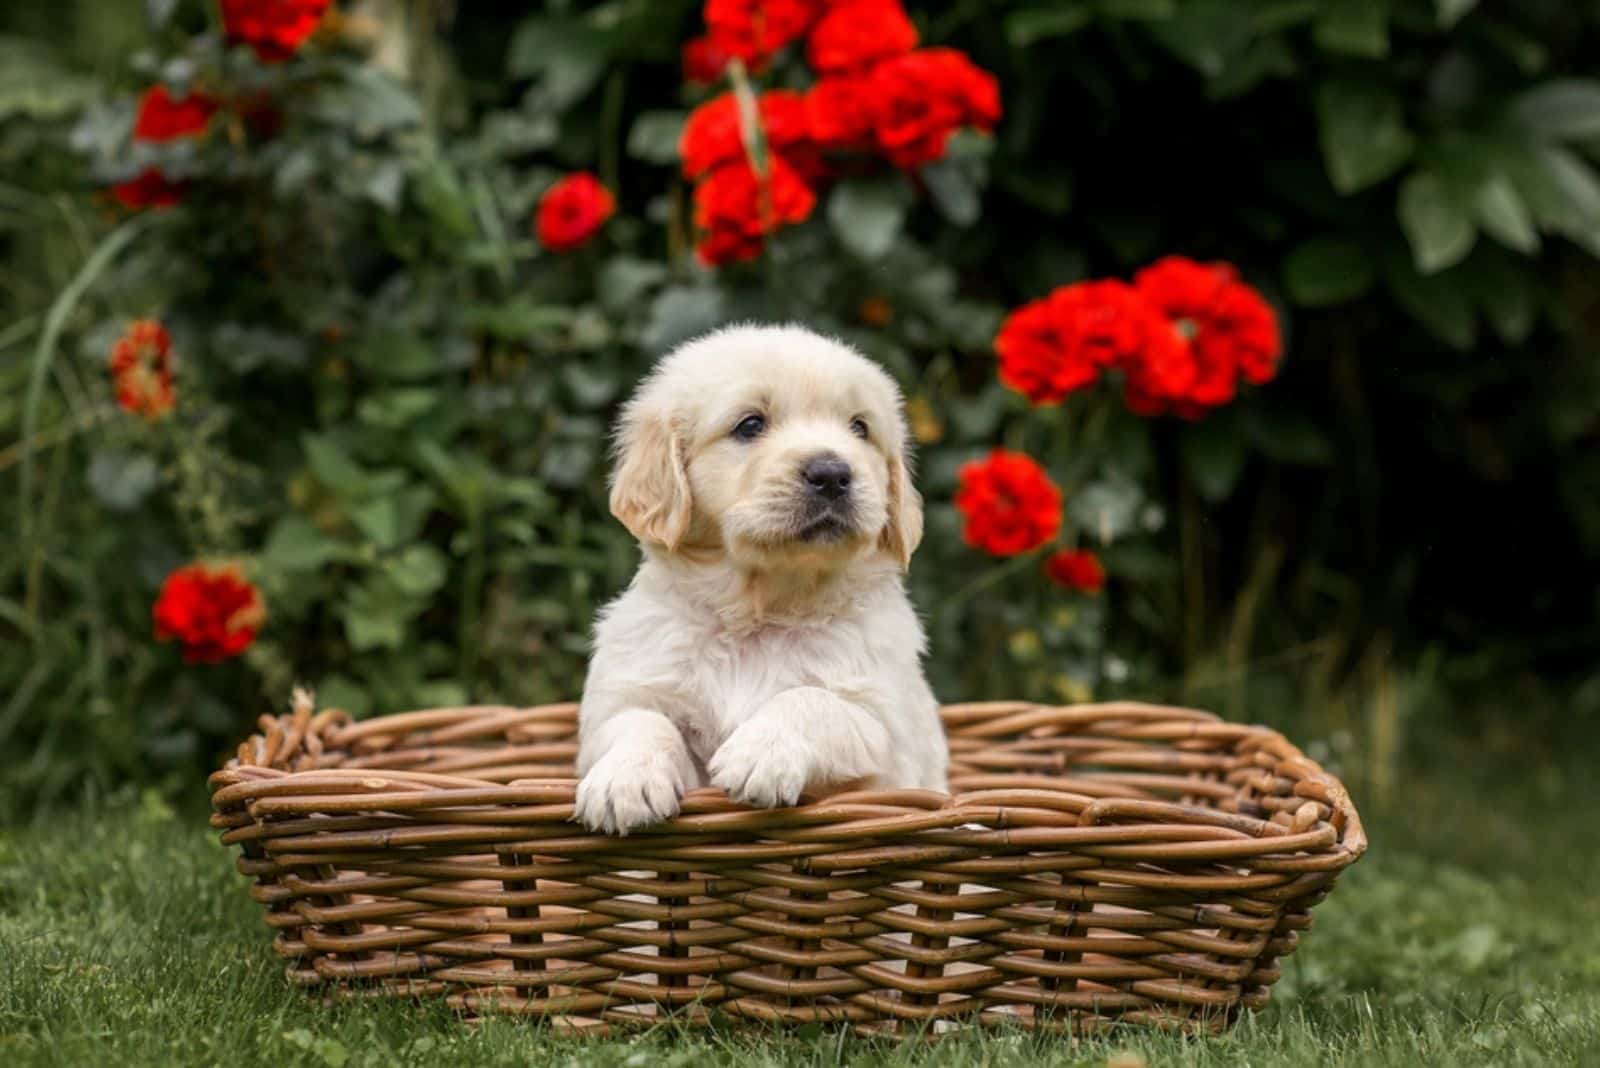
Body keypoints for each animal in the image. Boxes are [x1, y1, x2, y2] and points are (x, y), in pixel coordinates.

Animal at [579, 326, 940, 831]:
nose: (832, 473)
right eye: (750, 425)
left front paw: (758, 754)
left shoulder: (885, 730)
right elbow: (640, 721)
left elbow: (814, 701)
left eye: (860, 428)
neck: (762, 612)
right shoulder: (626, 692)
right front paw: (624, 781)